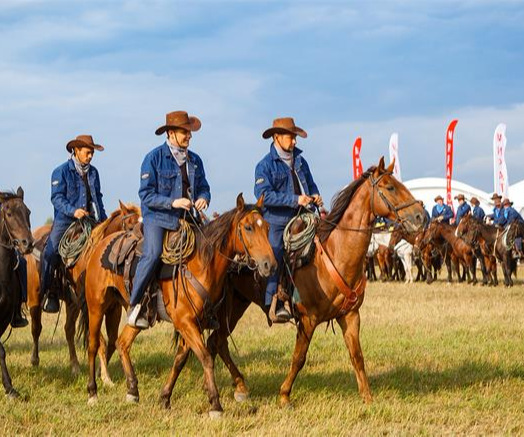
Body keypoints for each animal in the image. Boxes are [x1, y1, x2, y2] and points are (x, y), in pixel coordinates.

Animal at [25, 201, 139, 374]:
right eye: (131, 226)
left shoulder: (114, 306)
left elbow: (112, 340)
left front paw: (100, 371)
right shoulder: (90, 307)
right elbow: (99, 340)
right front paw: (104, 374)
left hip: (72, 303)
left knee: (68, 330)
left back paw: (75, 365)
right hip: (35, 297)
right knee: (36, 328)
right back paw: (34, 359)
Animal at [82, 194, 276, 416]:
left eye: (267, 227)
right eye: (248, 227)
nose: (269, 264)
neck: (201, 265)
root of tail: (102, 244)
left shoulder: (193, 323)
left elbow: (181, 359)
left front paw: (165, 397)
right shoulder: (185, 322)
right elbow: (206, 357)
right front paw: (215, 404)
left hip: (136, 315)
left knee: (122, 343)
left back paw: (132, 390)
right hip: (96, 307)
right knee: (93, 345)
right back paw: (93, 393)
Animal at [206, 158, 426, 408]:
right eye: (390, 187)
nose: (420, 216)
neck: (334, 255)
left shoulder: (350, 315)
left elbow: (357, 356)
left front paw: (367, 397)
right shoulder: (307, 320)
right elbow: (299, 358)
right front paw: (284, 395)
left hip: (237, 305)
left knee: (216, 342)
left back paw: (237, 387)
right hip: (225, 307)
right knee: (216, 341)